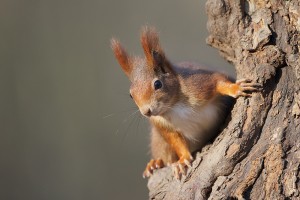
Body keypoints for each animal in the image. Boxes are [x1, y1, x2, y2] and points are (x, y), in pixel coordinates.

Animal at [111, 26, 258, 178]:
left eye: (157, 84)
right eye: (131, 94)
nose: (146, 112)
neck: (173, 106)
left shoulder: (199, 85)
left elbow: (218, 81)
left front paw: (235, 88)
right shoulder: (162, 125)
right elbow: (177, 142)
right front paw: (182, 160)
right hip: (158, 141)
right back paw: (155, 163)